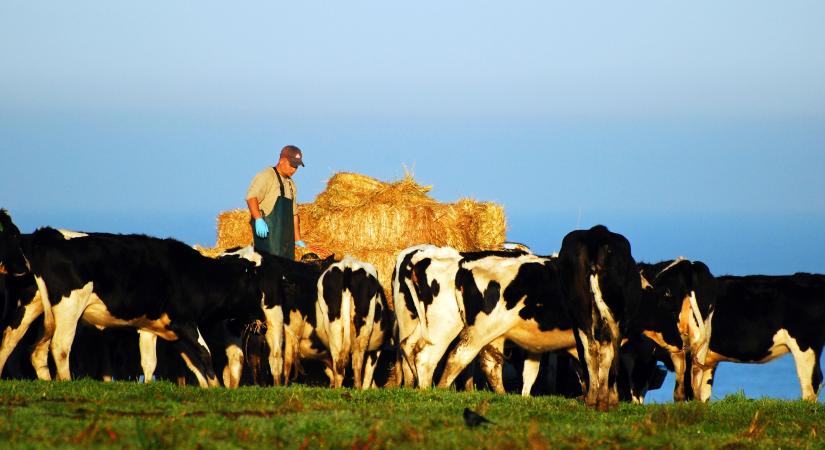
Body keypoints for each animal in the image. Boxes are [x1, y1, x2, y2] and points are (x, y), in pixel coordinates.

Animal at [0, 210, 264, 386]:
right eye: (255, 284)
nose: (262, 316)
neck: (194, 273)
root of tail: (46, 235)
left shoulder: (159, 328)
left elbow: (159, 362)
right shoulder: (184, 321)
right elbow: (203, 354)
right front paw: (216, 387)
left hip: (31, 307)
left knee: (15, 343)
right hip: (69, 307)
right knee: (59, 347)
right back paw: (65, 383)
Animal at [556, 225, 640, 412]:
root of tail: (596, 233)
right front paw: (612, 398)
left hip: (579, 309)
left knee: (590, 348)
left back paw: (591, 398)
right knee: (607, 351)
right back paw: (602, 400)